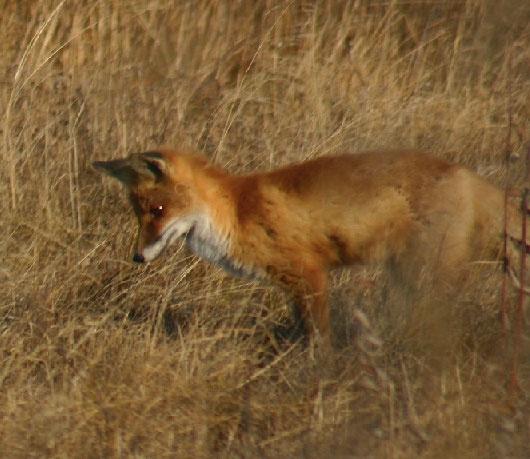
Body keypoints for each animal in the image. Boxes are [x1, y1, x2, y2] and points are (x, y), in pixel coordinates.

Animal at [93, 148, 524, 344]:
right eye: (139, 215)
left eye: (158, 211)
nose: (136, 257)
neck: (236, 212)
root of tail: (467, 175)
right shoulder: (292, 287)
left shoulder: (309, 274)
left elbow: (319, 337)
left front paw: (319, 373)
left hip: (425, 275)